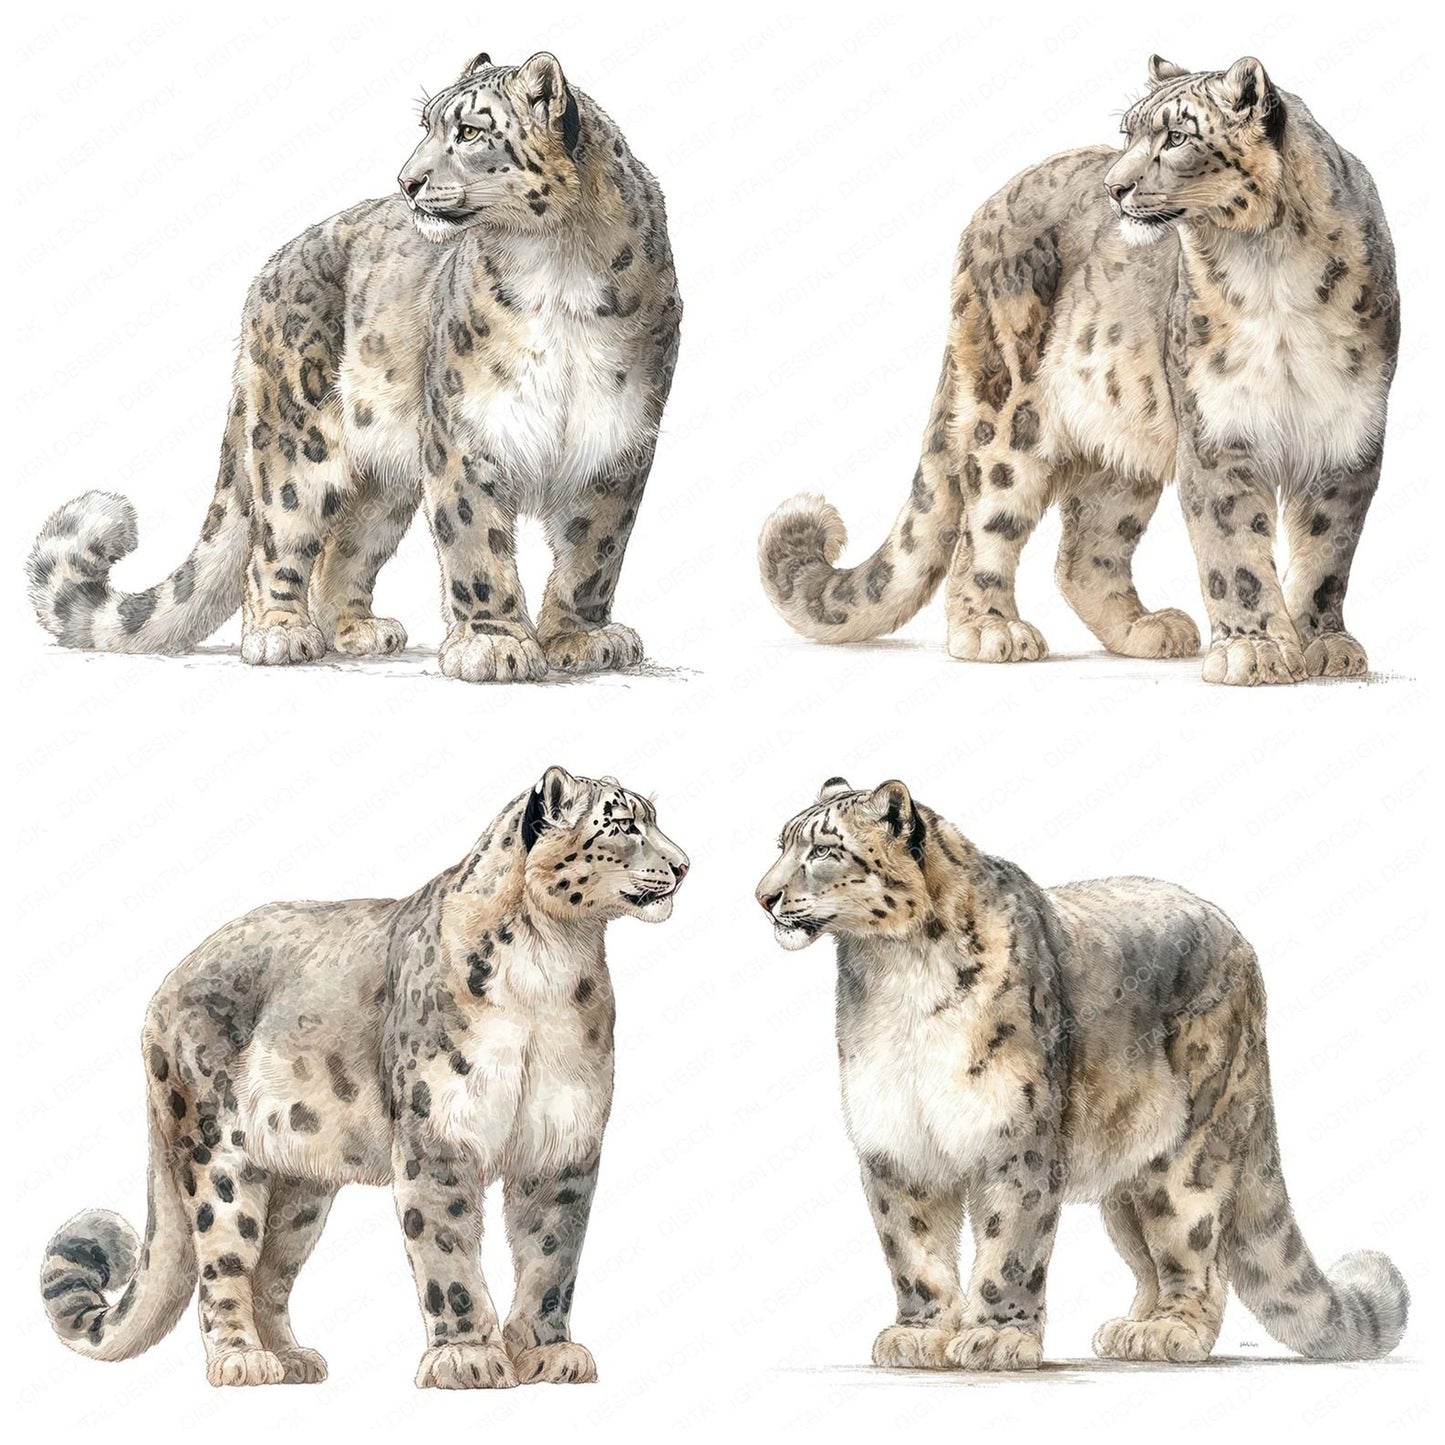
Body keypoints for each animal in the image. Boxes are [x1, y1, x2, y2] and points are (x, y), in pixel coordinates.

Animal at [27, 52, 681, 683]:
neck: (558, 267)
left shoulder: (617, 445)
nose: (408, 180)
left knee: (342, 552)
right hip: (294, 447)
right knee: (273, 546)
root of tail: (266, 279)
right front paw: (494, 645)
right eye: (426, 127)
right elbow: (476, 546)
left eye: (469, 131)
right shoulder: (464, 438)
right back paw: (280, 633)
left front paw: (580, 638)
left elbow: (595, 554)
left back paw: (358, 630)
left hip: (383, 483)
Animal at [39, 768, 689, 1388]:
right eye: (624, 825)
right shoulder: (439, 1136)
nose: (683, 864)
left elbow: (554, 1254)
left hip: (301, 1185)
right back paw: (243, 1360)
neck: (550, 965)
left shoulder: (564, 1141)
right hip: (216, 1154)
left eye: (652, 818)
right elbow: (448, 1252)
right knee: (224, 1264)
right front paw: (468, 1358)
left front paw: (548, 1353)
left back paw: (293, 1359)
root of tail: (169, 983)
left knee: (272, 1270)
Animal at [755, 777, 1409, 1369]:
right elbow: (912, 1250)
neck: (899, 977)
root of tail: (1242, 949)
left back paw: (1170, 1332)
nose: (763, 896)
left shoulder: (1017, 1137)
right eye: (782, 844)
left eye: (824, 850)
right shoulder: (897, 1142)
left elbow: (1010, 1245)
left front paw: (996, 1338)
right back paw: (1130, 1328)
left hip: (1192, 1155)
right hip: (1129, 1183)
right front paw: (920, 1336)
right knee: (1150, 1258)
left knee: (1197, 1255)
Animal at [760, 56, 1398, 685]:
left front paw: (1325, 645)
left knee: (1087, 551)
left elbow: (1327, 554)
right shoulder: (1218, 432)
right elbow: (1234, 550)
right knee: (981, 525)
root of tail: (986, 212)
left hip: (1123, 433)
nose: (1115, 187)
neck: (1270, 267)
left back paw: (1147, 629)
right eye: (1128, 133)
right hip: (1008, 412)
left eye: (1177, 136)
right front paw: (1256, 649)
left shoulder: (1348, 438)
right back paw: (991, 630)